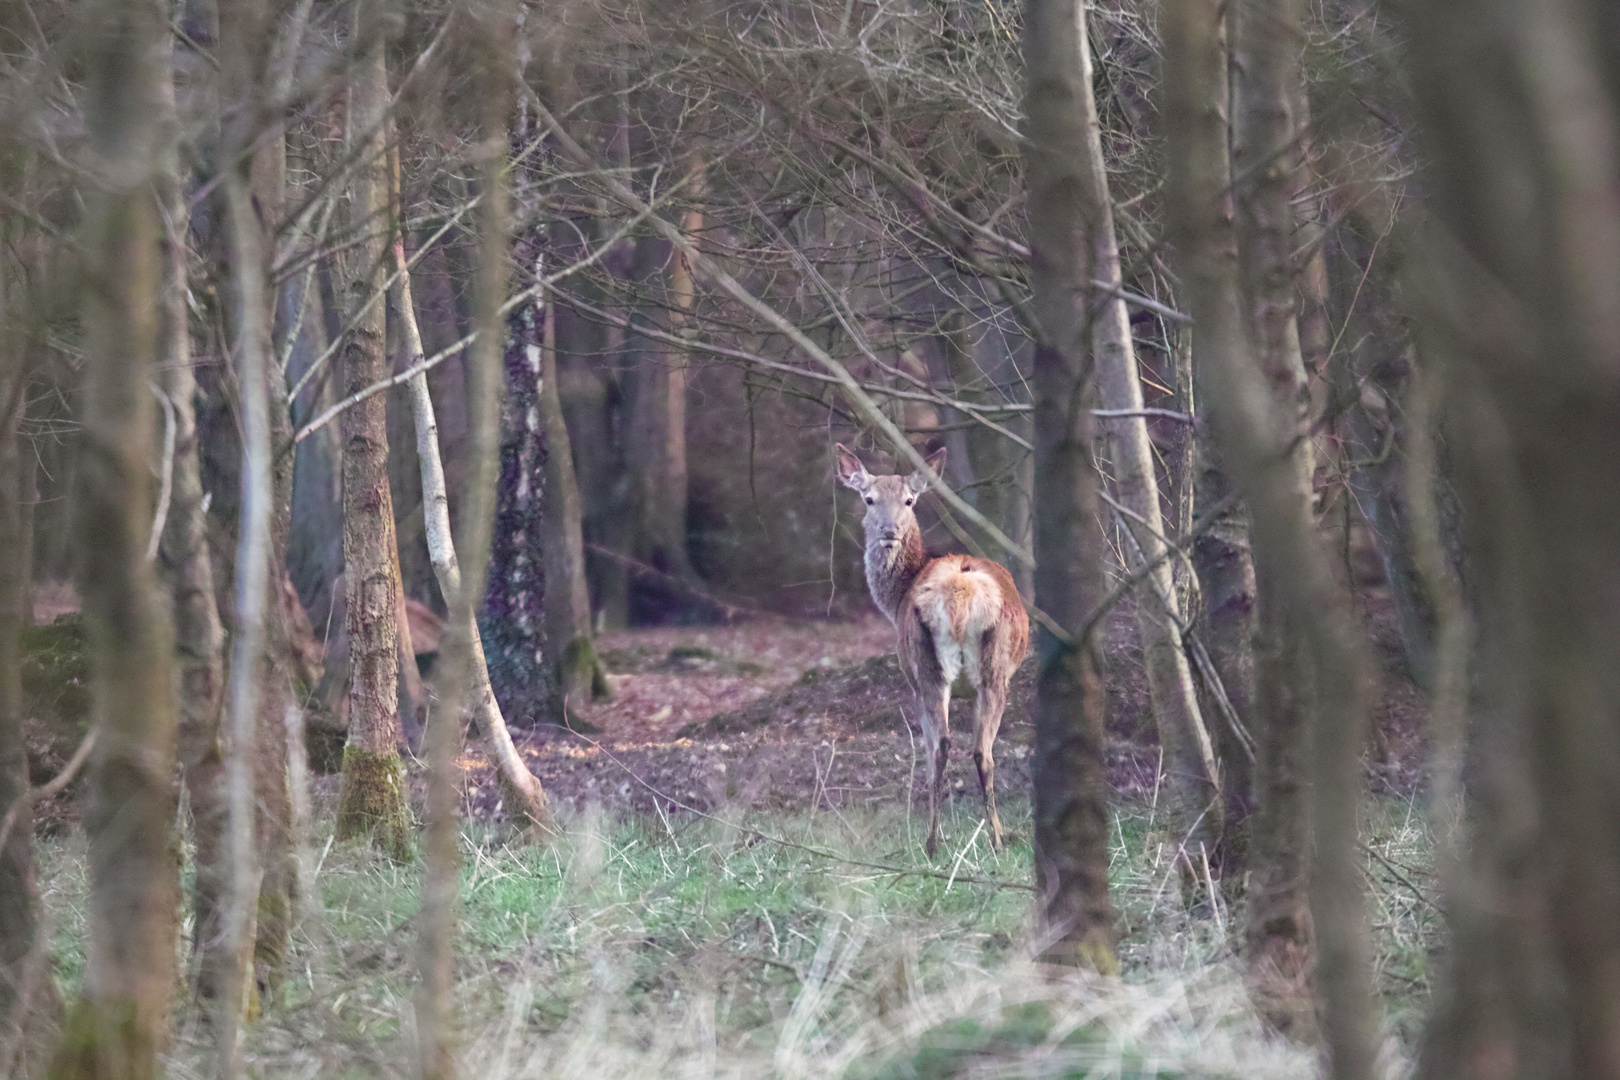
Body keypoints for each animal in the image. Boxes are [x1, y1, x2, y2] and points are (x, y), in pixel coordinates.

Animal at [835, 443, 1023, 854]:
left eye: (909, 500)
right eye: (869, 499)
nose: (889, 531)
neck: (897, 597)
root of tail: (960, 597)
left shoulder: (914, 679)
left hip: (930, 667)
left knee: (946, 747)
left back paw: (941, 839)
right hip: (979, 671)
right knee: (973, 750)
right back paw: (983, 837)